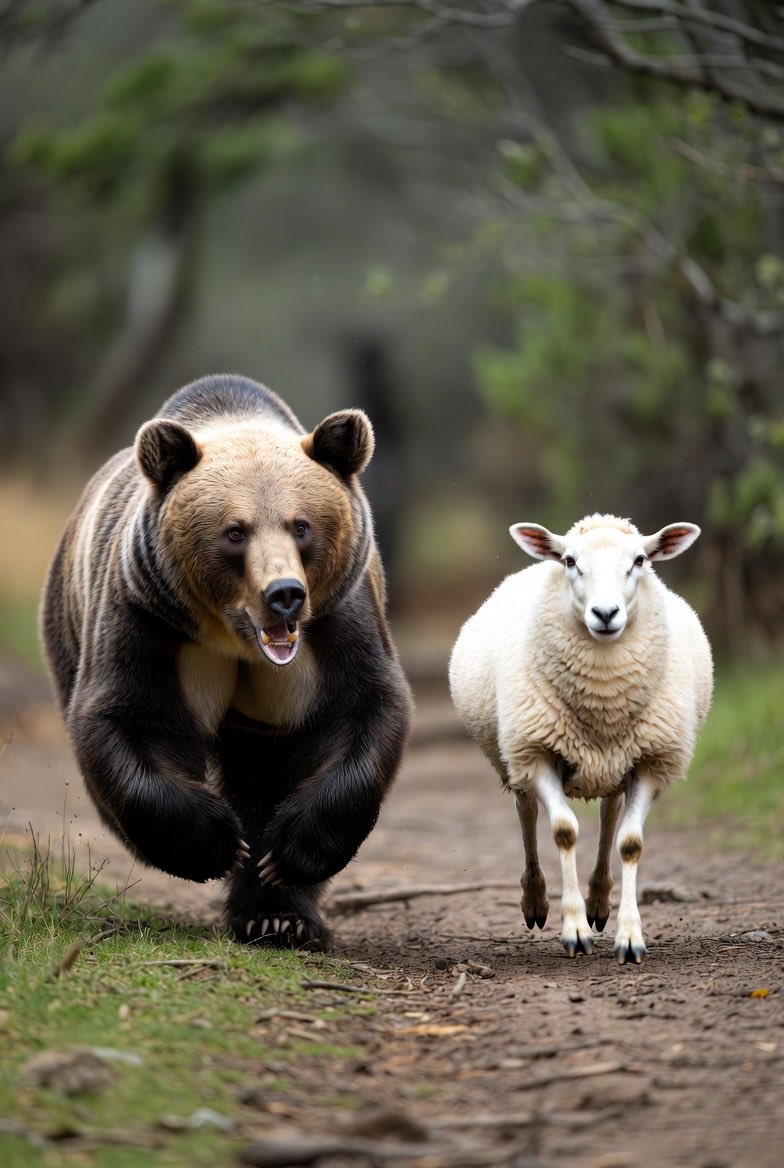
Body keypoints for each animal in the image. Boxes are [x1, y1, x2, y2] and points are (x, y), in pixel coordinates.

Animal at [40, 373, 413, 949]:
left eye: (301, 525)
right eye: (235, 531)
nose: (284, 595)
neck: (236, 639)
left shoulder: (337, 620)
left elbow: (356, 712)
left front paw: (284, 855)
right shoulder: (150, 620)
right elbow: (133, 719)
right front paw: (218, 843)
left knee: (262, 774)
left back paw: (276, 916)